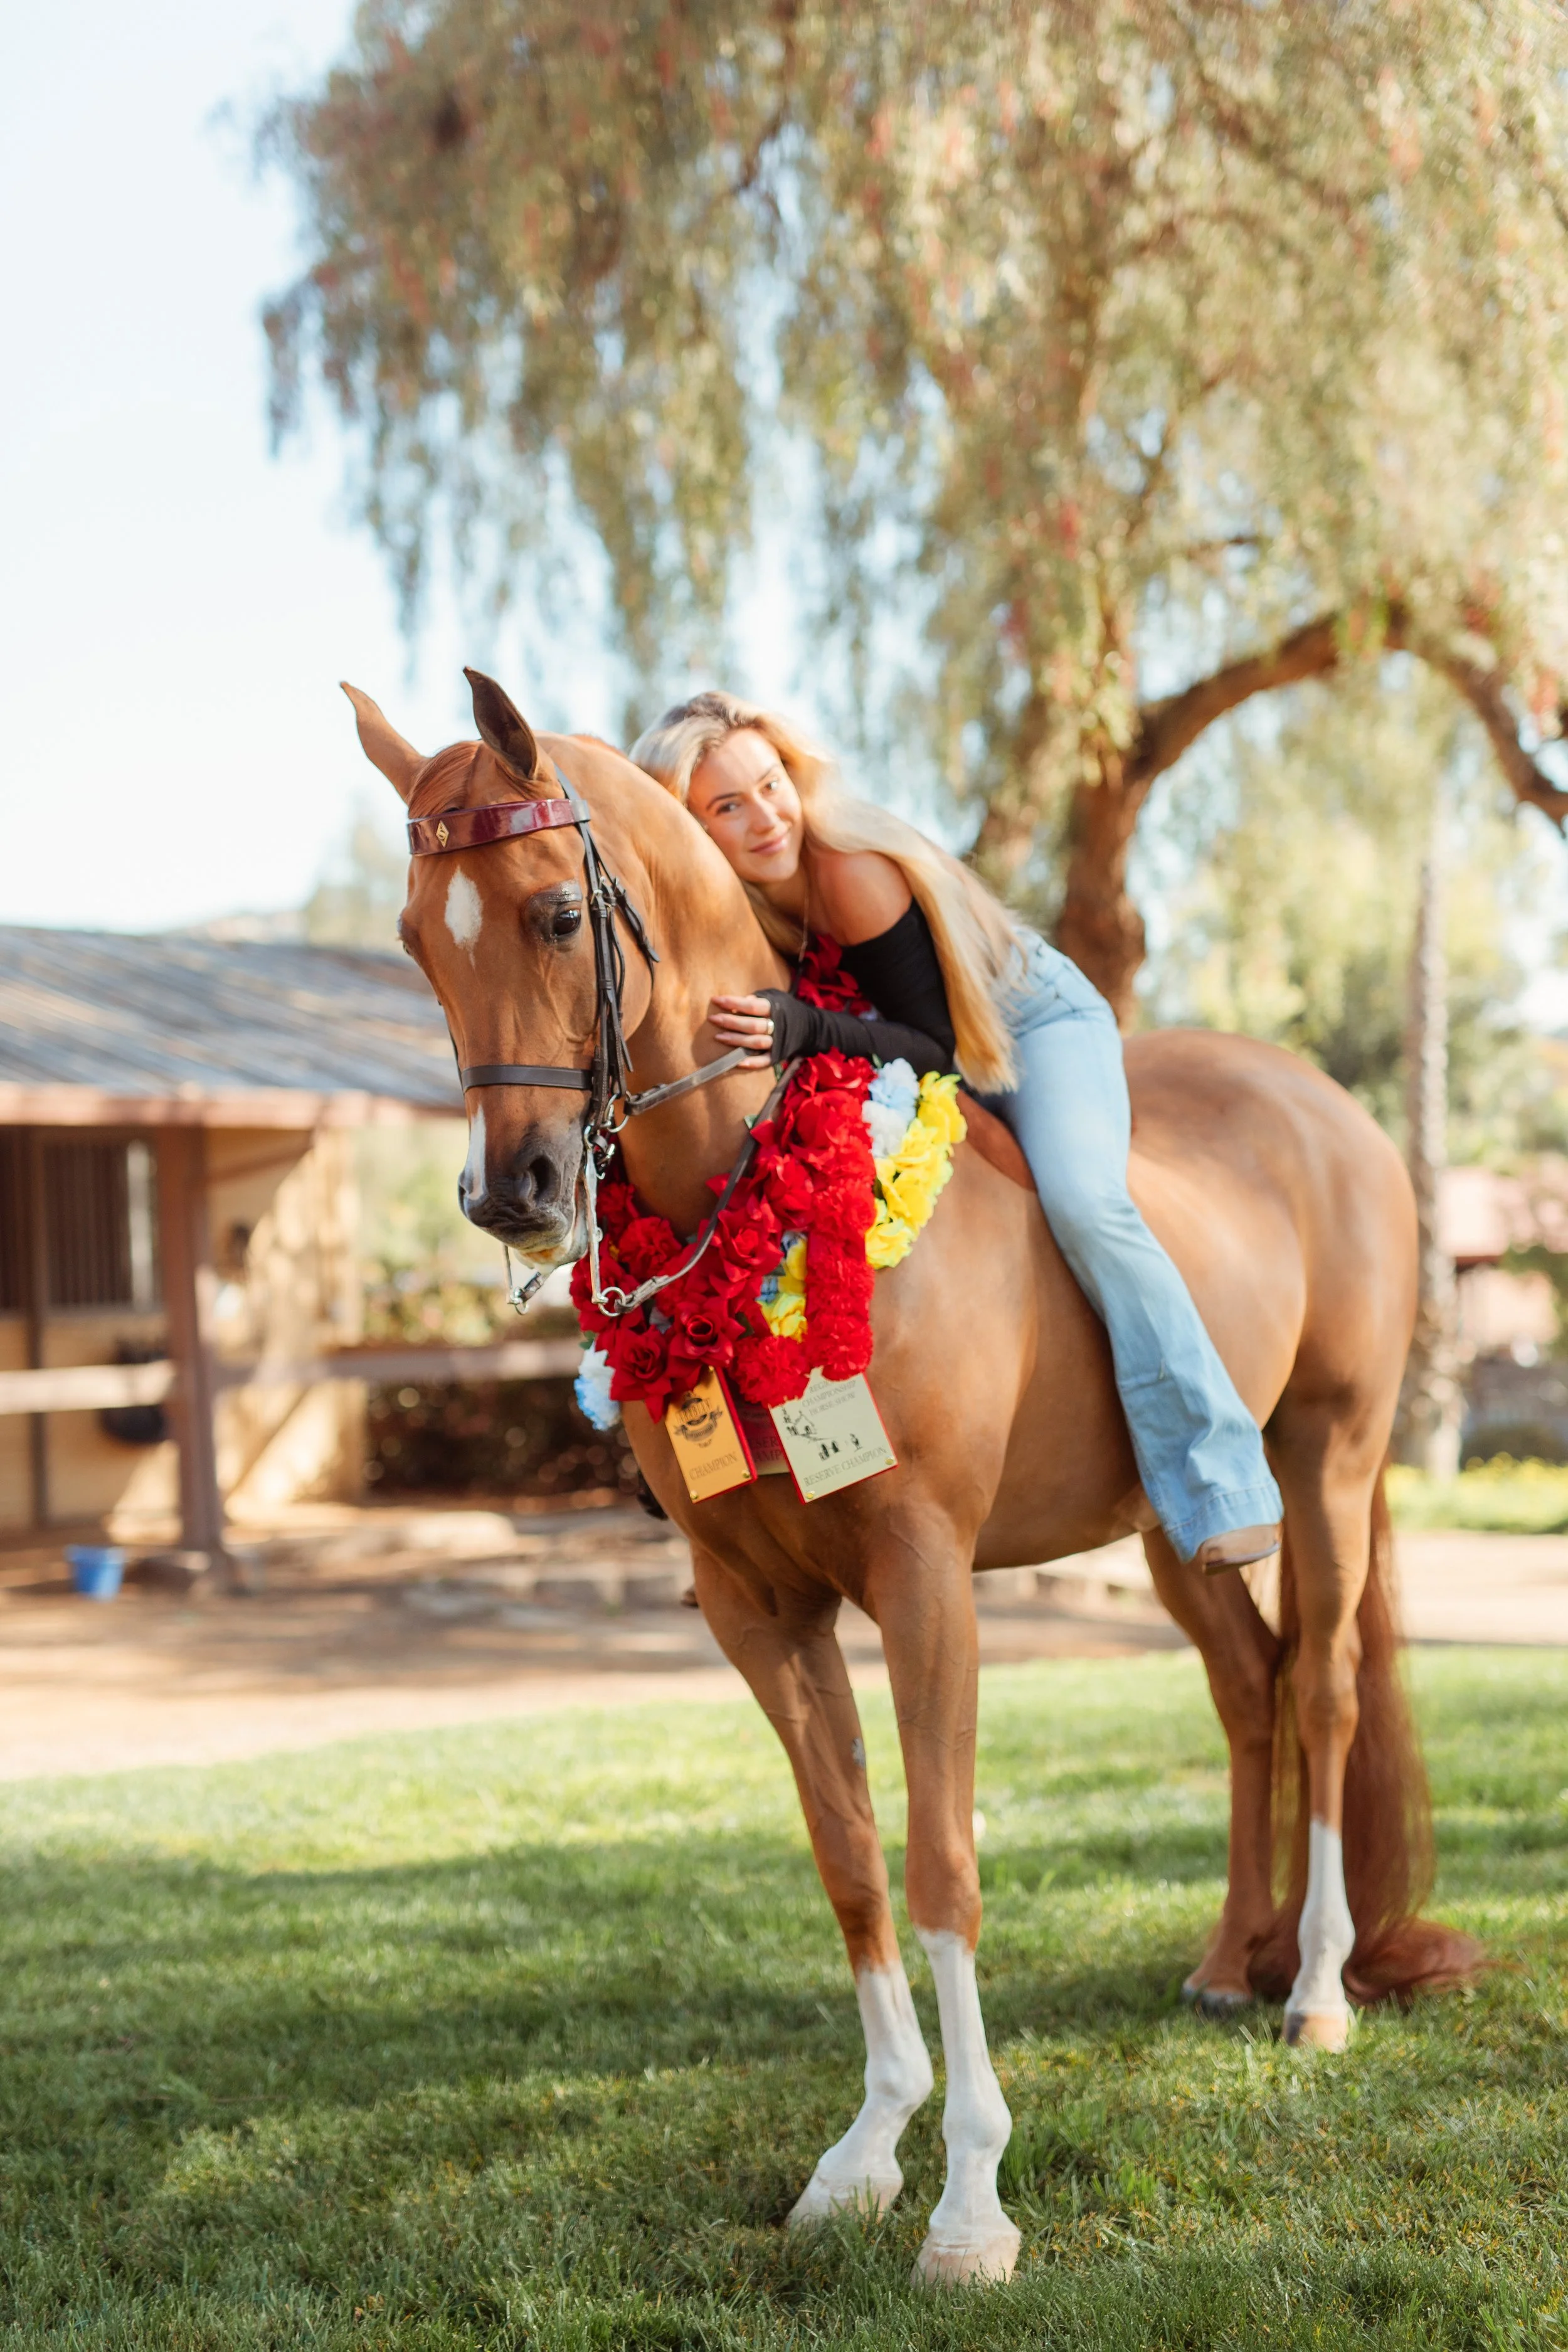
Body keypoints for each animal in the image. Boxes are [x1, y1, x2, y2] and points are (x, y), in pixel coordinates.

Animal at [343, 670, 1476, 2286]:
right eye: (411, 935)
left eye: (557, 911)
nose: (516, 1191)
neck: (759, 1183)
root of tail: (1329, 1109)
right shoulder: (755, 1606)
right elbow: (850, 1861)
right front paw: (866, 2151)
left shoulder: (925, 1576)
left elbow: (941, 1862)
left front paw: (970, 2199)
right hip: (1168, 1528)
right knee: (1249, 1692)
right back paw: (1223, 1964)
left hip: (1329, 1458)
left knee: (1319, 1690)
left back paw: (1316, 1988)